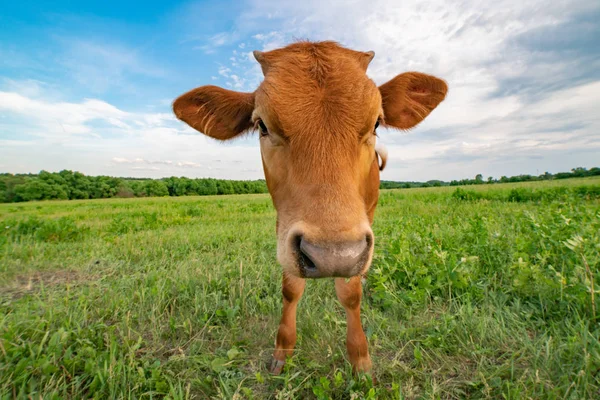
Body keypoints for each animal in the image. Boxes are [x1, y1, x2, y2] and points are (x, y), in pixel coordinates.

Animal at [172, 40, 446, 376]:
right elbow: (291, 287)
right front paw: (283, 350)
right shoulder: (284, 225)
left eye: (376, 123)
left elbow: (350, 293)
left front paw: (360, 358)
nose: (332, 256)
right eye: (262, 125)